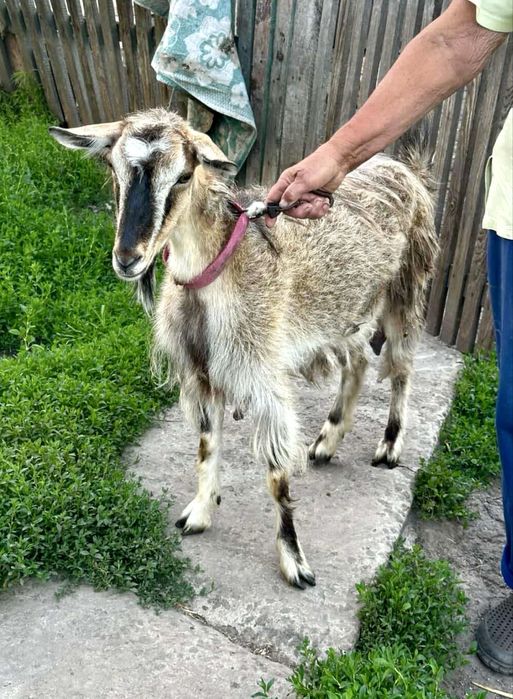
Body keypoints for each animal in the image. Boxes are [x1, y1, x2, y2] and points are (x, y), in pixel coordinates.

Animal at [50, 109, 438, 589]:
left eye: (183, 176)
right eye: (114, 169)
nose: (128, 258)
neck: (217, 274)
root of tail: (407, 169)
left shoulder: (263, 374)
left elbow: (276, 475)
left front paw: (295, 561)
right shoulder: (199, 372)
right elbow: (206, 446)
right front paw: (198, 514)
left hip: (407, 287)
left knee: (401, 368)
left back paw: (389, 447)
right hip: (347, 310)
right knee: (359, 363)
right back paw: (327, 442)